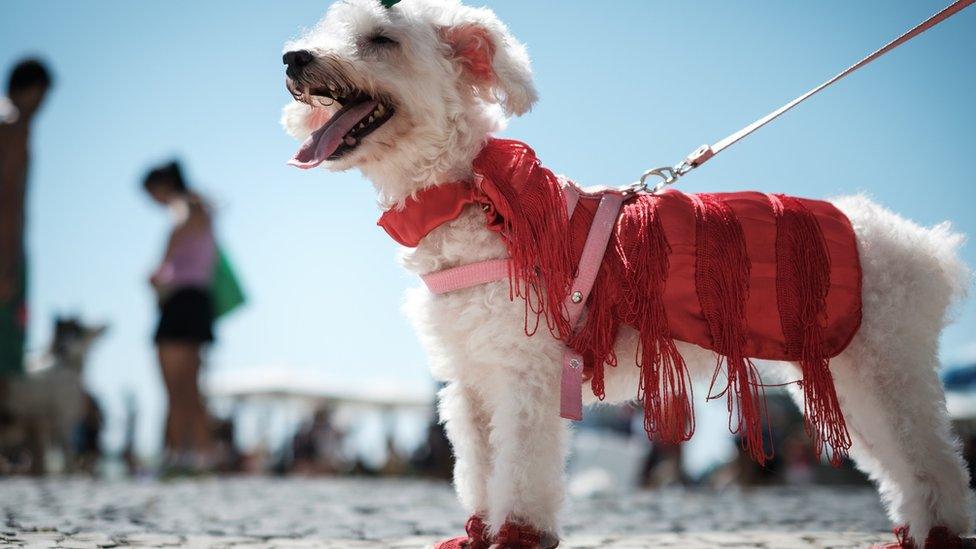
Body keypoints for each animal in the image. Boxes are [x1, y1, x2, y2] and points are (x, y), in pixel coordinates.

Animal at [278, 2, 972, 544]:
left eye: (382, 39)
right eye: (331, 26)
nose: (292, 57)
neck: (471, 198)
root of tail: (922, 245)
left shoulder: (527, 380)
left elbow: (520, 475)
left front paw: (517, 534)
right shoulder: (471, 384)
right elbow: (478, 472)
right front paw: (477, 533)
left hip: (888, 368)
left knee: (937, 466)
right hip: (853, 380)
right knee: (903, 470)